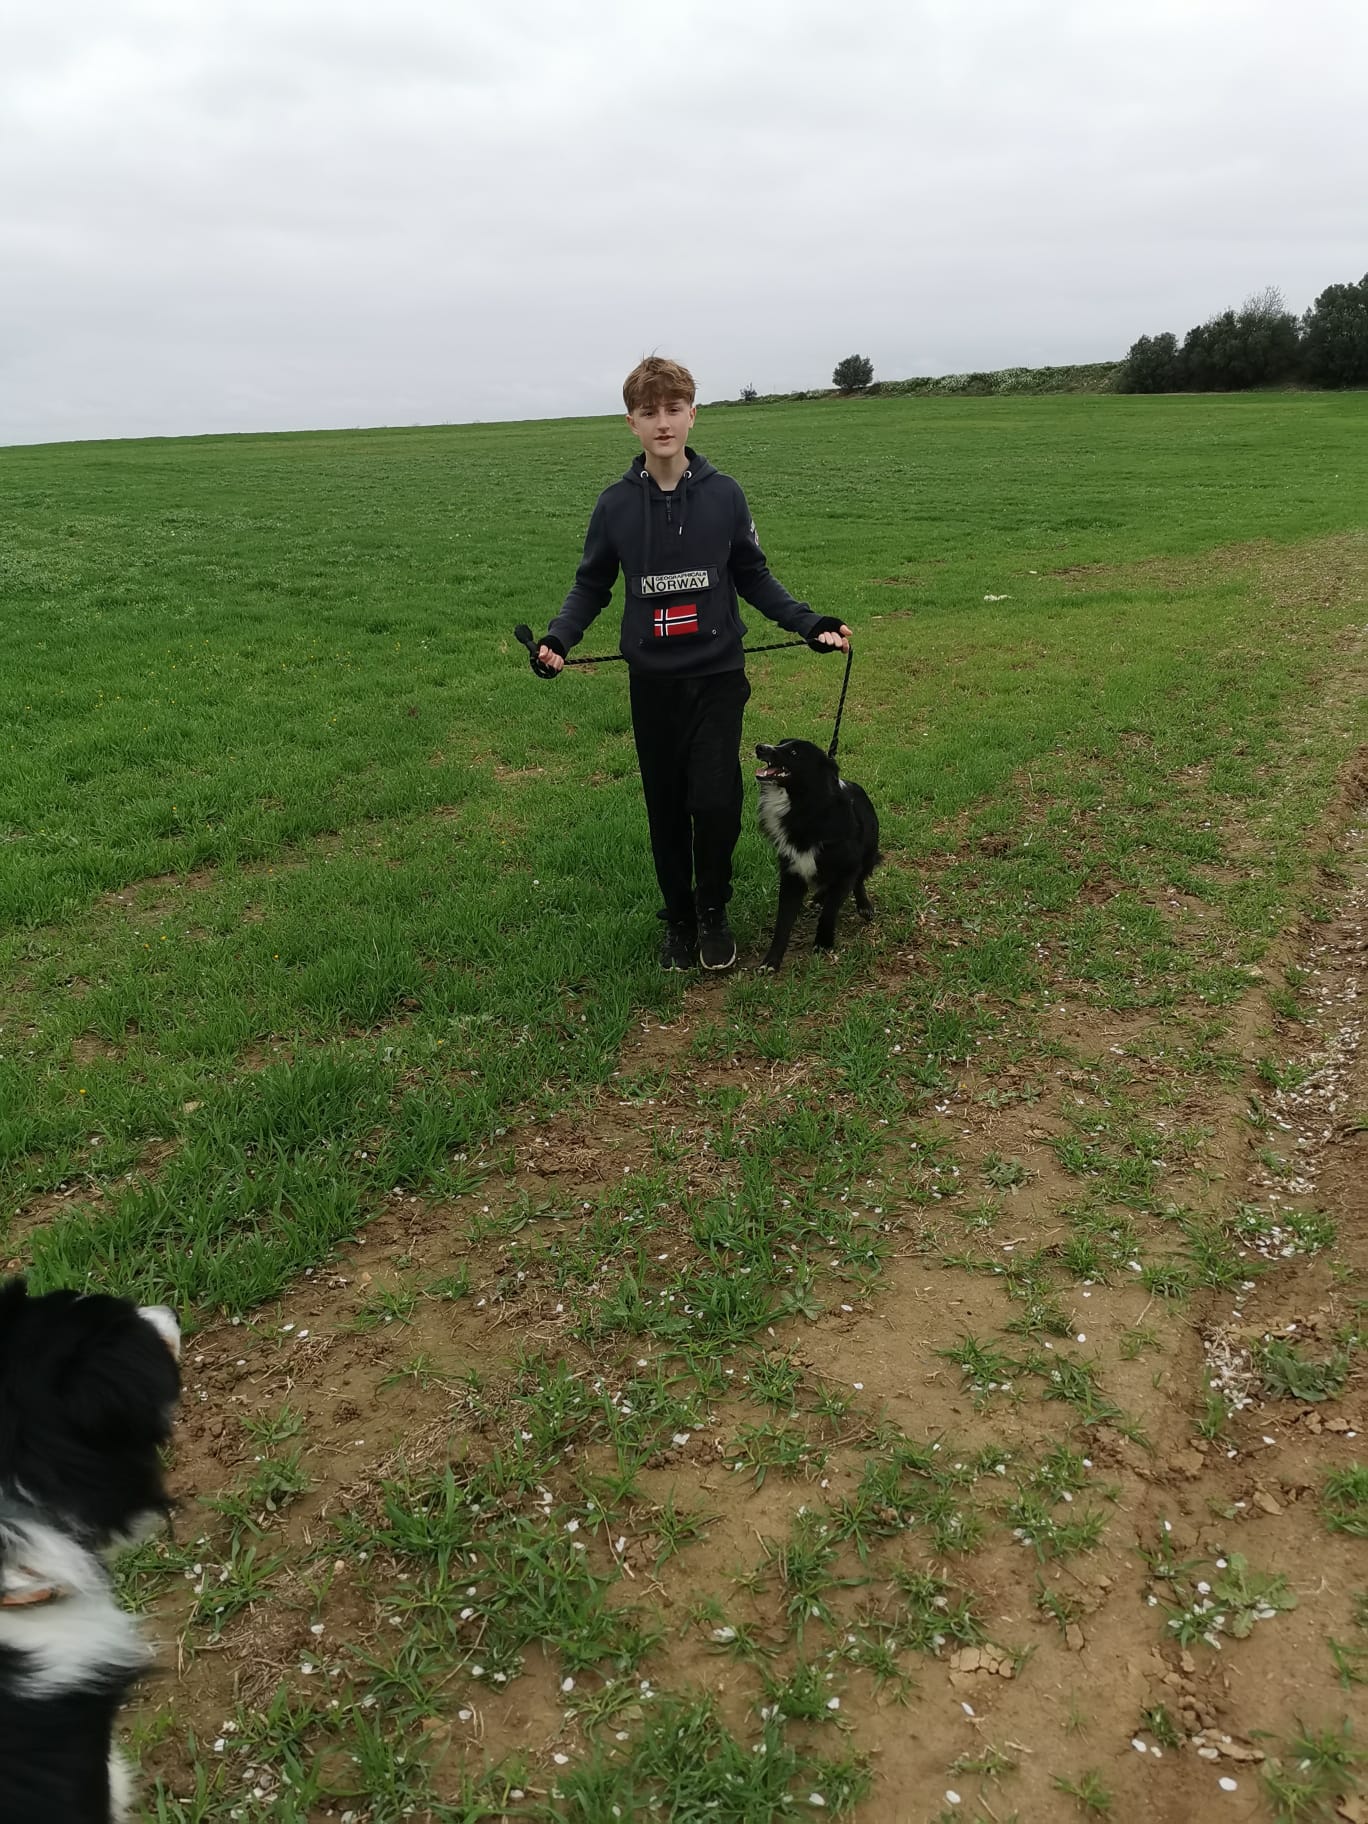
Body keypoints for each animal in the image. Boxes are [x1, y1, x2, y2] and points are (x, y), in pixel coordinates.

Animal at [755, 739, 881, 970]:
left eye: (794, 752)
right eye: (780, 743)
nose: (760, 747)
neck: (805, 807)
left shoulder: (846, 868)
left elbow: (830, 910)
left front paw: (823, 943)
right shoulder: (792, 872)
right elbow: (783, 921)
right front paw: (771, 961)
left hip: (868, 852)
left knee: (859, 880)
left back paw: (864, 906)